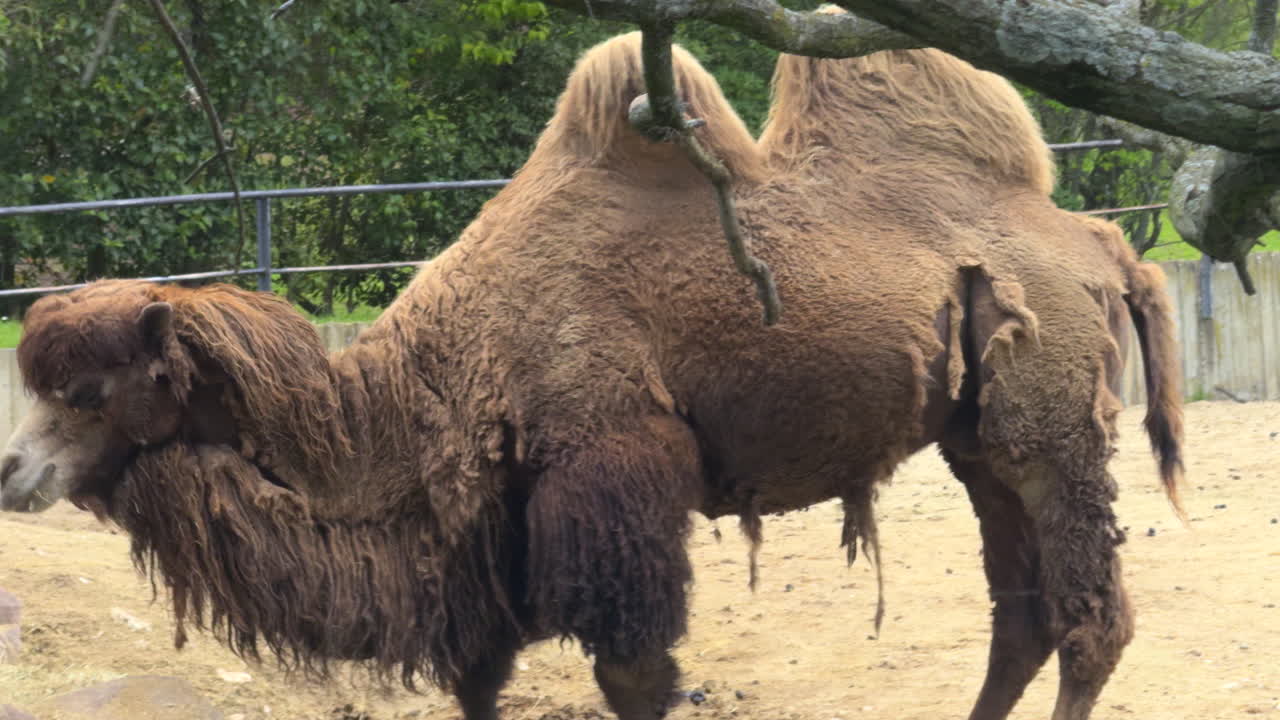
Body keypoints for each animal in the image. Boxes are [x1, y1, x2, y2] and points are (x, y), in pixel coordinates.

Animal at [0, 31, 1182, 720]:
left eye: (86, 391)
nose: (13, 473)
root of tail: (1099, 243)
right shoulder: (491, 530)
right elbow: (479, 674)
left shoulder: (612, 475)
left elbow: (633, 676)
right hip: (977, 434)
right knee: (1022, 614)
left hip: (1051, 421)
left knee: (1091, 620)